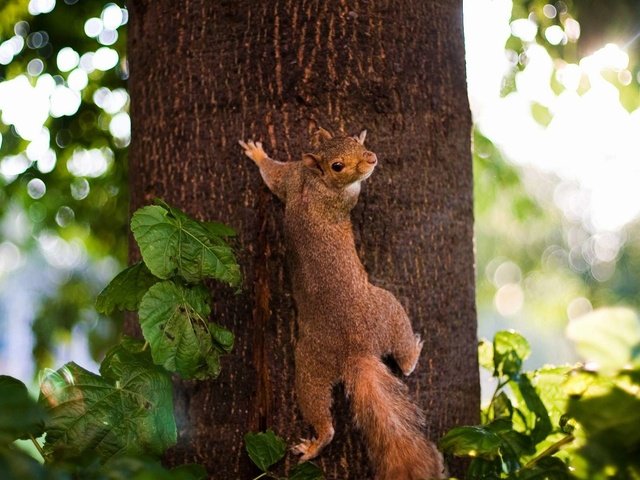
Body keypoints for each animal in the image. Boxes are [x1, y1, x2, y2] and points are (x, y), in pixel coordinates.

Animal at [240, 128, 444, 480]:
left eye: (353, 140)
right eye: (338, 166)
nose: (371, 158)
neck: (315, 183)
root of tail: (356, 350)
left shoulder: (291, 177)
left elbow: (273, 175)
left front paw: (257, 155)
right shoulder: (342, 196)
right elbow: (356, 192)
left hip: (309, 373)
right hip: (384, 310)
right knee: (400, 364)